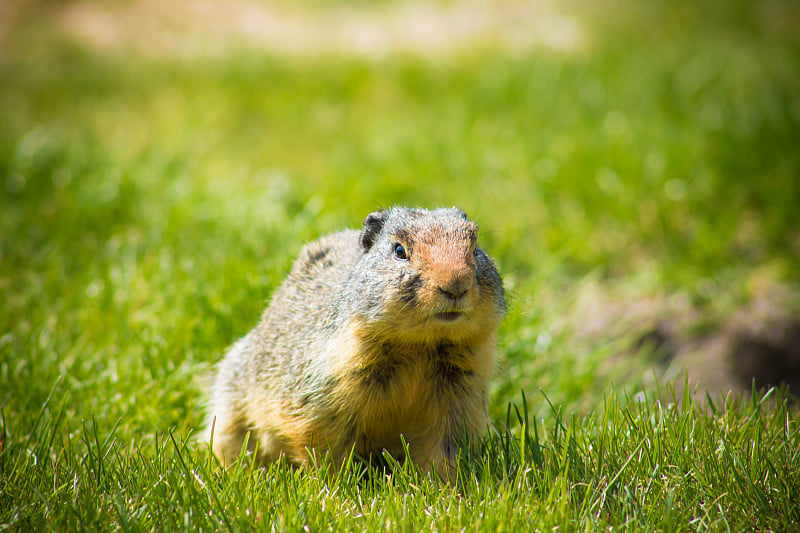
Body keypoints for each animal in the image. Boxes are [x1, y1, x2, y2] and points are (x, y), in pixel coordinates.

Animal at [206, 206, 506, 476]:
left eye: (475, 246)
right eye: (399, 250)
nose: (455, 284)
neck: (419, 345)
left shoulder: (461, 388)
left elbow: (445, 444)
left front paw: (444, 486)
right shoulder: (330, 380)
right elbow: (322, 440)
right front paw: (335, 487)